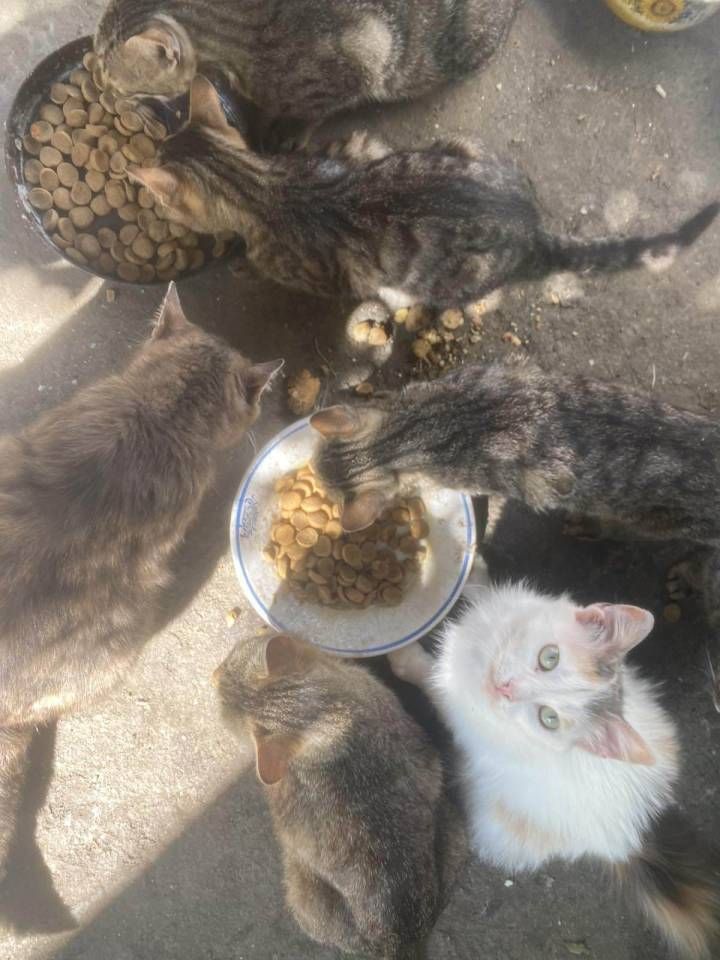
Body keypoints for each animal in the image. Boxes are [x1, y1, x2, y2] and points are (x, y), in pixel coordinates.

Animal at [390, 568, 716, 960]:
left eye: (549, 719)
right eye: (550, 657)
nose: (506, 689)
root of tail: (633, 835)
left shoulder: (457, 707)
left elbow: (431, 679)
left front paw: (404, 656)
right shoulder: (514, 604)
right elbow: (485, 588)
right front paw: (465, 572)